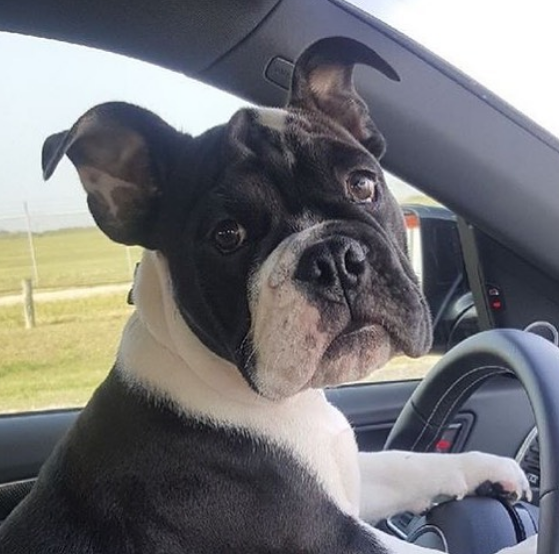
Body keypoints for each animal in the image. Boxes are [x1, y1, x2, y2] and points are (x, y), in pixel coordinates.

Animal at [0, 37, 540, 552]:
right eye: (227, 235)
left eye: (363, 185)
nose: (333, 259)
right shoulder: (334, 537)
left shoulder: (350, 478)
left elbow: (402, 461)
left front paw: (489, 466)